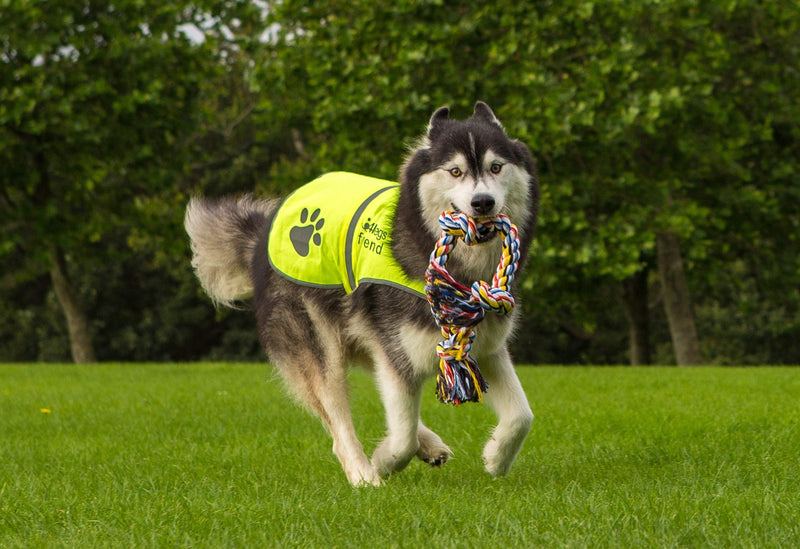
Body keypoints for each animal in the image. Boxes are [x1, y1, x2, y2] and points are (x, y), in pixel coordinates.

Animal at [184, 100, 540, 486]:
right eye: (455, 171)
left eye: (496, 167)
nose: (483, 202)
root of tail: (266, 228)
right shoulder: (399, 353)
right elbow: (402, 436)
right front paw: (385, 460)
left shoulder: (484, 347)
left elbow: (522, 416)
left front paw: (497, 458)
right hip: (321, 348)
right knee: (337, 423)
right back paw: (363, 474)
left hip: (367, 335)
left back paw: (427, 446)